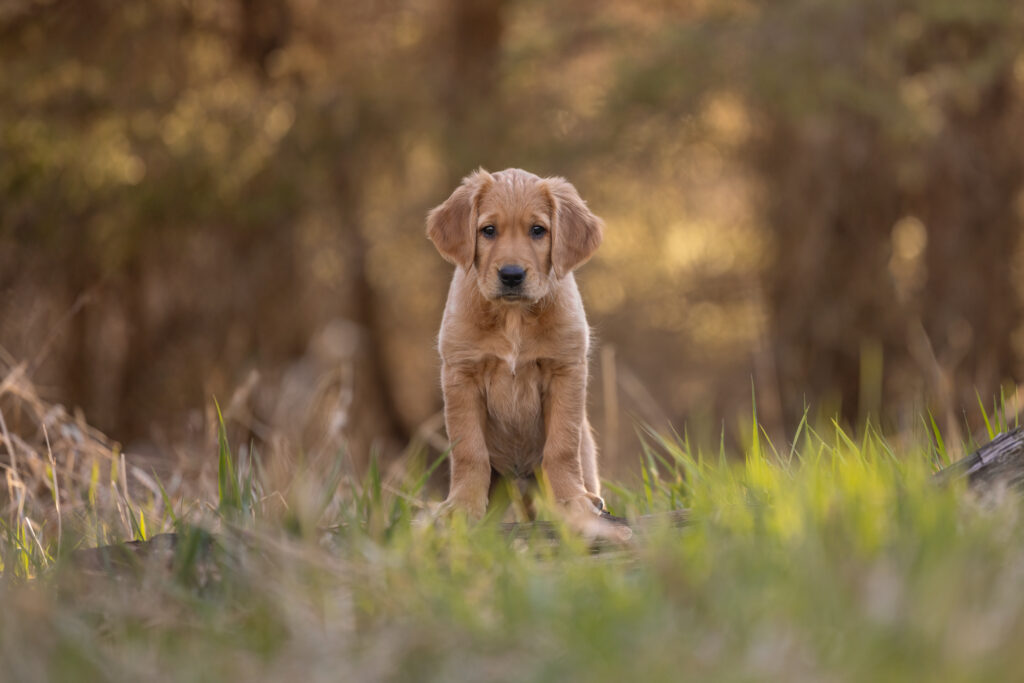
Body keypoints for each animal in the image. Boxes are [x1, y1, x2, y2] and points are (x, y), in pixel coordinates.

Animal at [425, 167, 606, 520]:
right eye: (488, 230)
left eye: (538, 230)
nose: (511, 275)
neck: (513, 317)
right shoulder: (460, 374)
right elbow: (469, 450)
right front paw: (462, 504)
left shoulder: (566, 370)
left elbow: (562, 446)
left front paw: (572, 499)